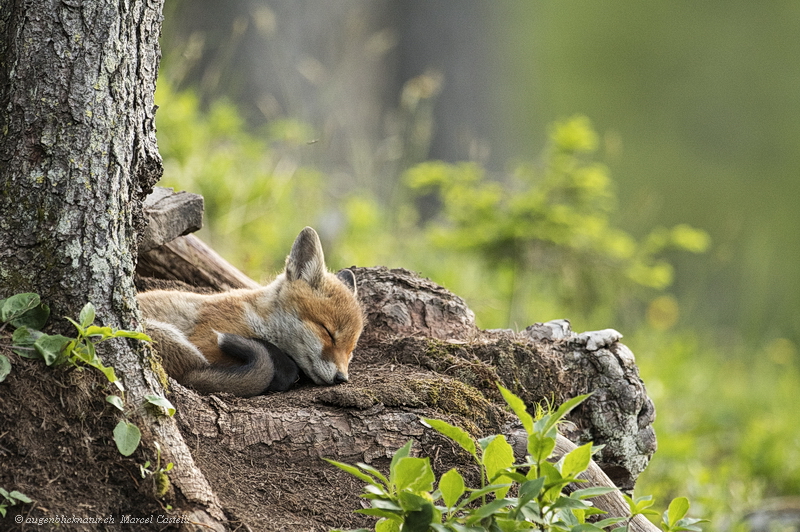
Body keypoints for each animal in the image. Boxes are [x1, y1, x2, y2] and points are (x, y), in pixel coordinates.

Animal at [137, 227, 362, 396]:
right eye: (328, 332)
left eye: (350, 350)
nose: (341, 379)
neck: (256, 317)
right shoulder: (207, 342)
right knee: (193, 377)